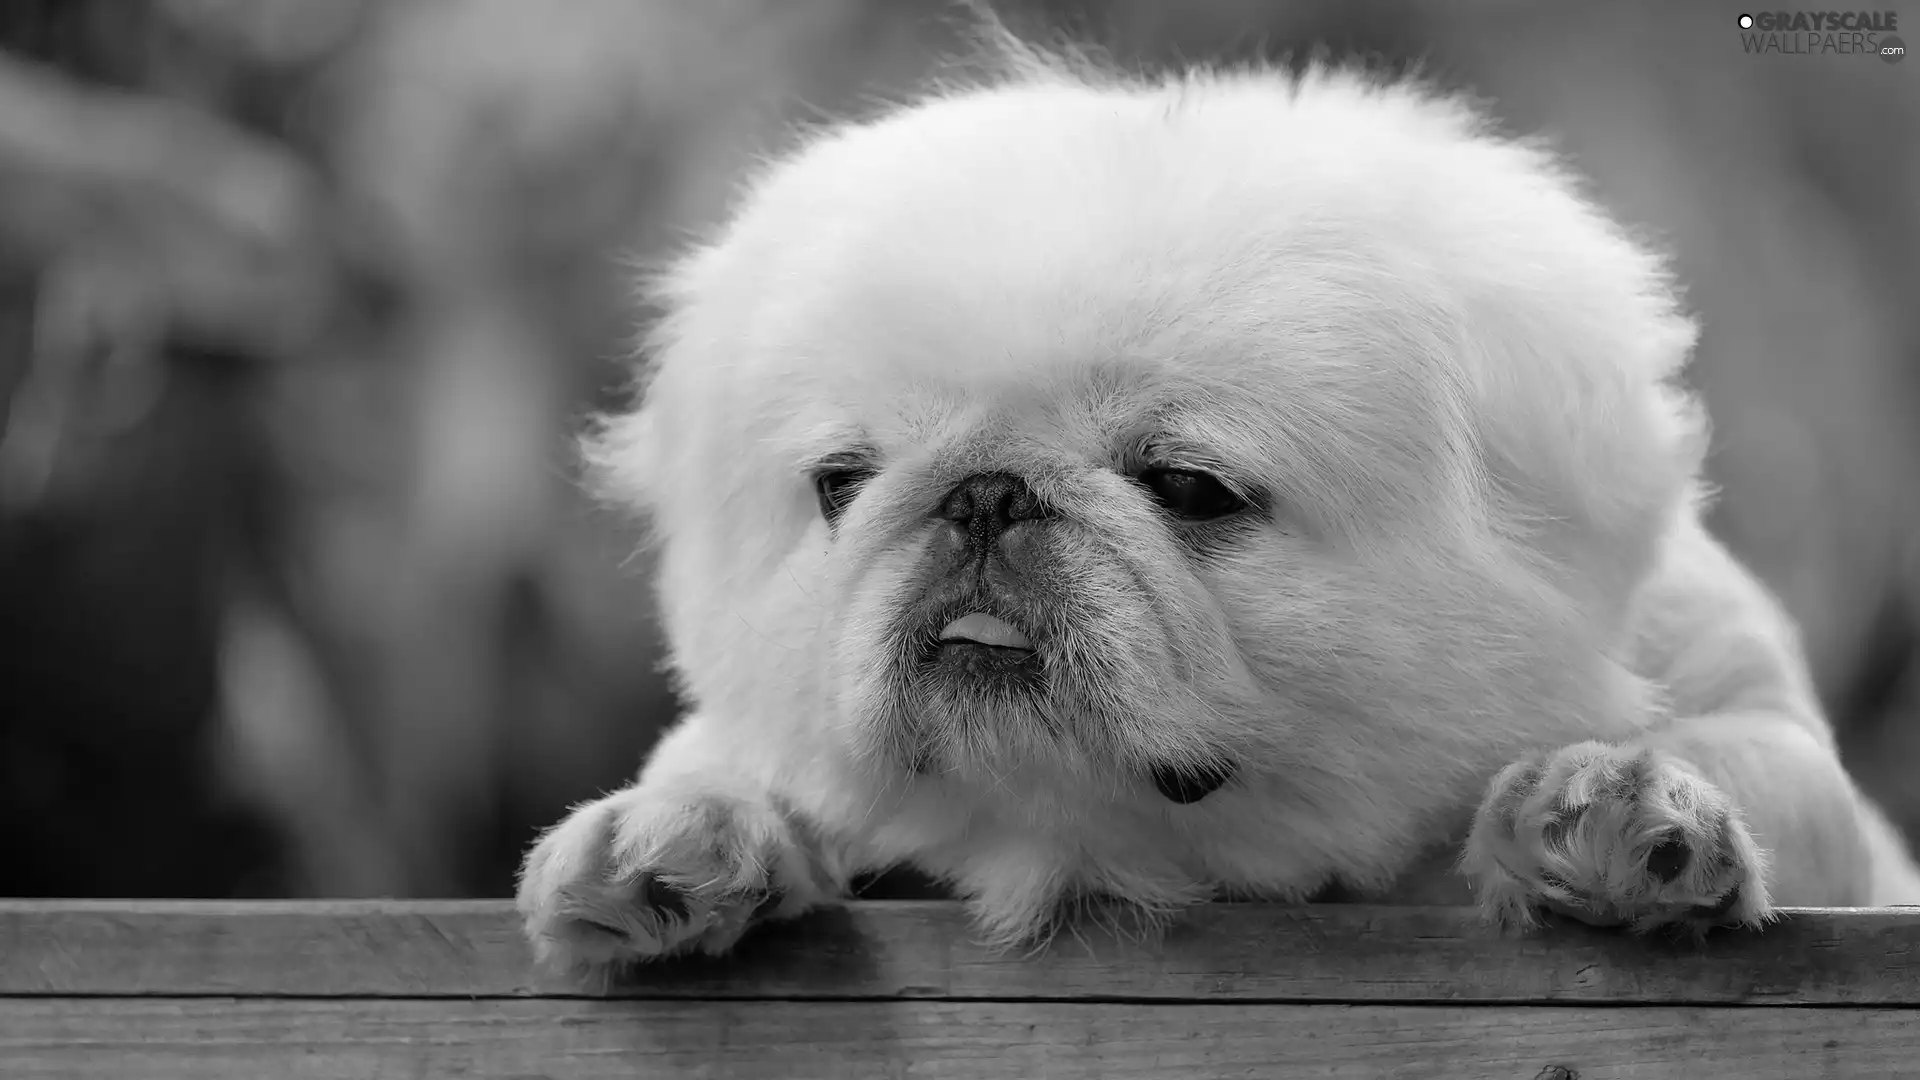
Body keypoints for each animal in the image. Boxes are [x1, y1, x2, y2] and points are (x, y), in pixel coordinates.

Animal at [510, 31, 1920, 968]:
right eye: (841, 485)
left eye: (1189, 487)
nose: (984, 493)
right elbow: (726, 767)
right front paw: (668, 843)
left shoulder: (1788, 752)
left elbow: (1732, 760)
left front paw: (1611, 809)